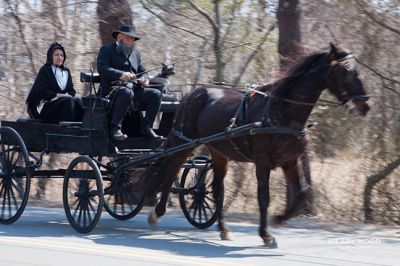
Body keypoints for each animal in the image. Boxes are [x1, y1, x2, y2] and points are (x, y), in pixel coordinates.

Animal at [143, 42, 368, 248]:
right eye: (346, 71)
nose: (365, 105)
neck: (281, 111)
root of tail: (192, 94)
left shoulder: (290, 160)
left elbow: (303, 193)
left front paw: (279, 219)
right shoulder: (262, 161)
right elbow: (264, 197)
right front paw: (266, 234)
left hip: (218, 152)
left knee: (216, 189)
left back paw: (223, 229)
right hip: (183, 142)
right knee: (170, 173)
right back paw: (157, 213)